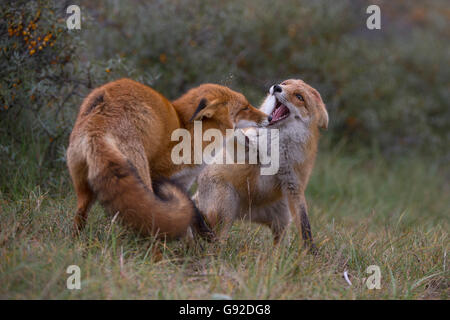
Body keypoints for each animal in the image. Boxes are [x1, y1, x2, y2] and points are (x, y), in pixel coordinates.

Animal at [66, 79, 268, 240]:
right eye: (245, 107)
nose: (269, 117)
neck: (189, 131)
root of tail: (99, 122)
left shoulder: (182, 183)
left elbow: (189, 216)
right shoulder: (160, 176)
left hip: (84, 190)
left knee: (79, 218)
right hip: (142, 178)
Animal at [195, 79, 328, 251]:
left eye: (299, 96)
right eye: (286, 83)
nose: (277, 87)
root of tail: (247, 213)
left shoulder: (294, 184)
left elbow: (305, 225)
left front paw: (310, 252)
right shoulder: (247, 152)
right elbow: (247, 142)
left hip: (282, 219)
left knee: (278, 243)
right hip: (226, 208)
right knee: (218, 235)